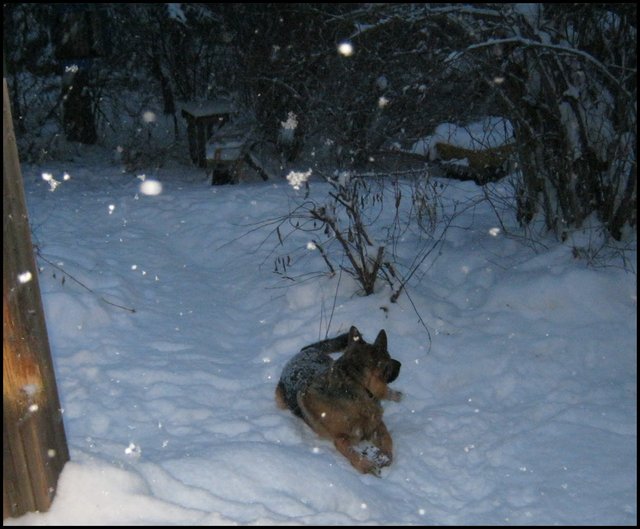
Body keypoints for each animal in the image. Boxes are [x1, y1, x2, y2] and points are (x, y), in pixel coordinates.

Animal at [274, 326, 400, 474]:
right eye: (390, 359)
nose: (400, 364)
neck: (357, 384)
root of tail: (304, 351)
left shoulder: (377, 425)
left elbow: (387, 441)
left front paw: (384, 457)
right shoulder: (341, 438)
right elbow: (352, 451)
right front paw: (366, 465)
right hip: (281, 401)